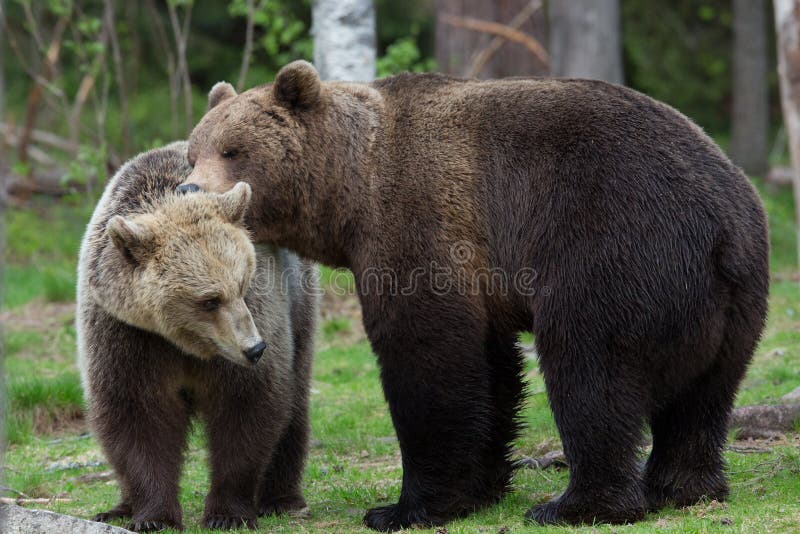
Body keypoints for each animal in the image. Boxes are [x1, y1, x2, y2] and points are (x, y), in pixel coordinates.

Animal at [76, 141, 318, 532]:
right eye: (209, 300)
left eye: (243, 283)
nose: (254, 348)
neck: (182, 341)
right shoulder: (125, 335)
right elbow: (136, 414)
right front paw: (153, 516)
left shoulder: (258, 314)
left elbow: (247, 405)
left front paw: (227, 513)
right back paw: (119, 507)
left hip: (298, 298)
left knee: (295, 396)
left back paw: (283, 499)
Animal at [184, 61, 772, 532]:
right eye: (193, 151)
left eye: (233, 150)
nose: (188, 188)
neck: (352, 191)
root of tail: (721, 225)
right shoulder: (483, 278)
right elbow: (490, 370)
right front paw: (479, 488)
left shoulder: (420, 221)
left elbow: (429, 357)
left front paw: (401, 508)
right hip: (738, 297)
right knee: (703, 397)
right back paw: (683, 487)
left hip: (613, 249)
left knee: (590, 369)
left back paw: (577, 504)